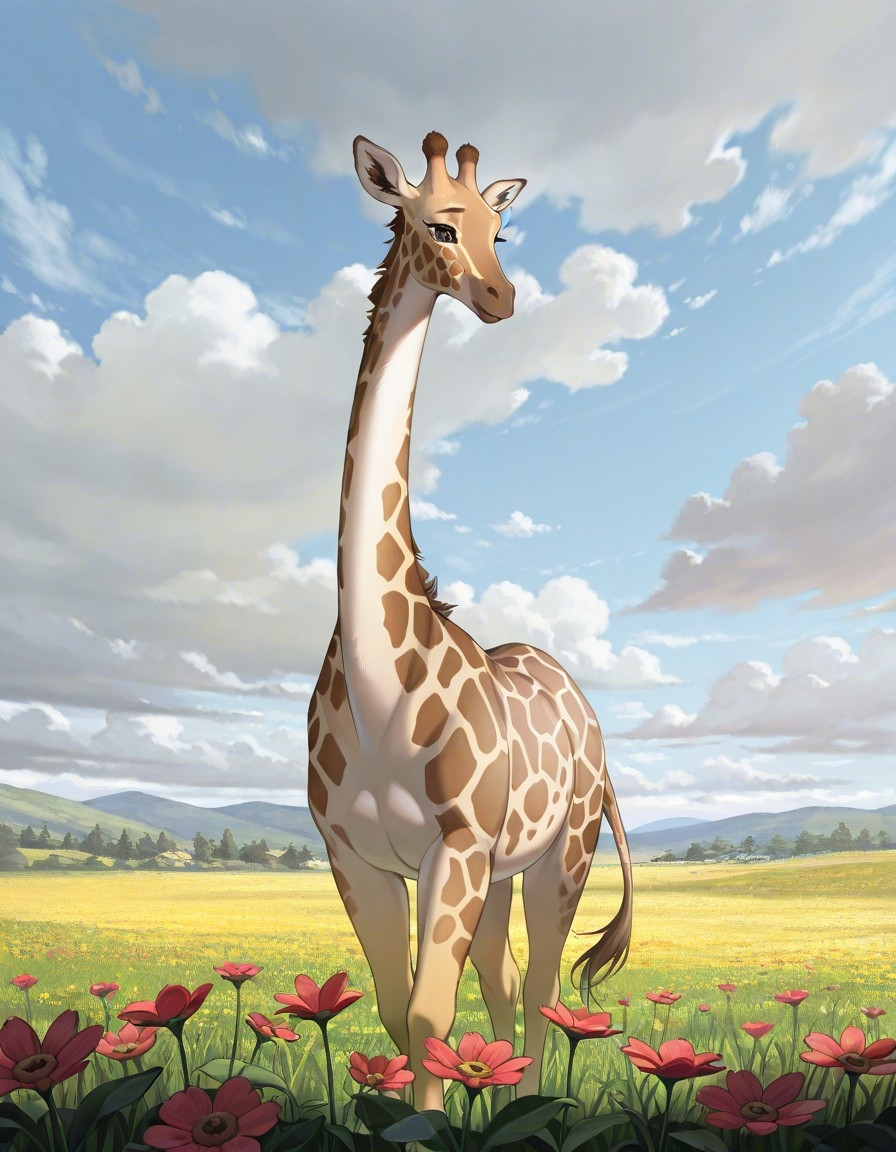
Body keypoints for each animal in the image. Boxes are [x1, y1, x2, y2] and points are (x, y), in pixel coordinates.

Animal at [307, 131, 633, 1110]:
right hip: (502, 869)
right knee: (503, 974)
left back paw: (531, 1101)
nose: (500, 297)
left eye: (502, 227)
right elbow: (396, 1011)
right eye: (437, 224)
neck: (378, 686)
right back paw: (507, 1094)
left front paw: (432, 1119)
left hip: (561, 852)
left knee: (541, 979)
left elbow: (427, 1014)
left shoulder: (454, 847)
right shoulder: (357, 856)